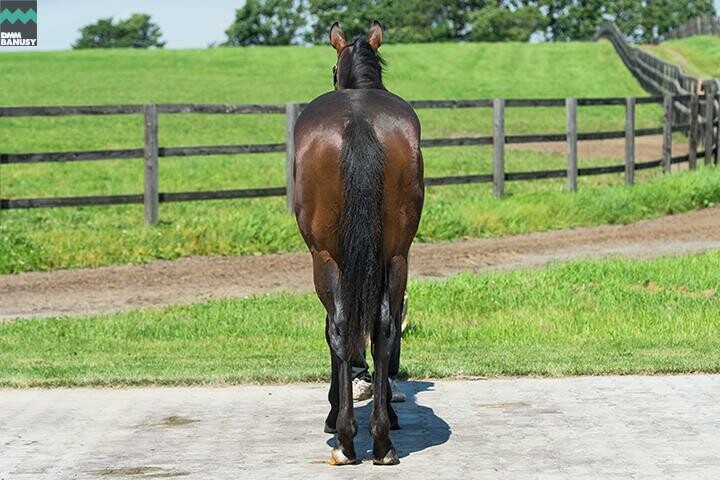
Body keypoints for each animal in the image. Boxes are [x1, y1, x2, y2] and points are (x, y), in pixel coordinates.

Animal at [292, 21, 424, 465]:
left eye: (333, 68)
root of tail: (358, 121)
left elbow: (335, 330)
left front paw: (334, 413)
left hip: (325, 258)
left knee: (339, 325)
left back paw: (346, 440)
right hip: (396, 256)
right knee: (384, 326)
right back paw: (383, 440)